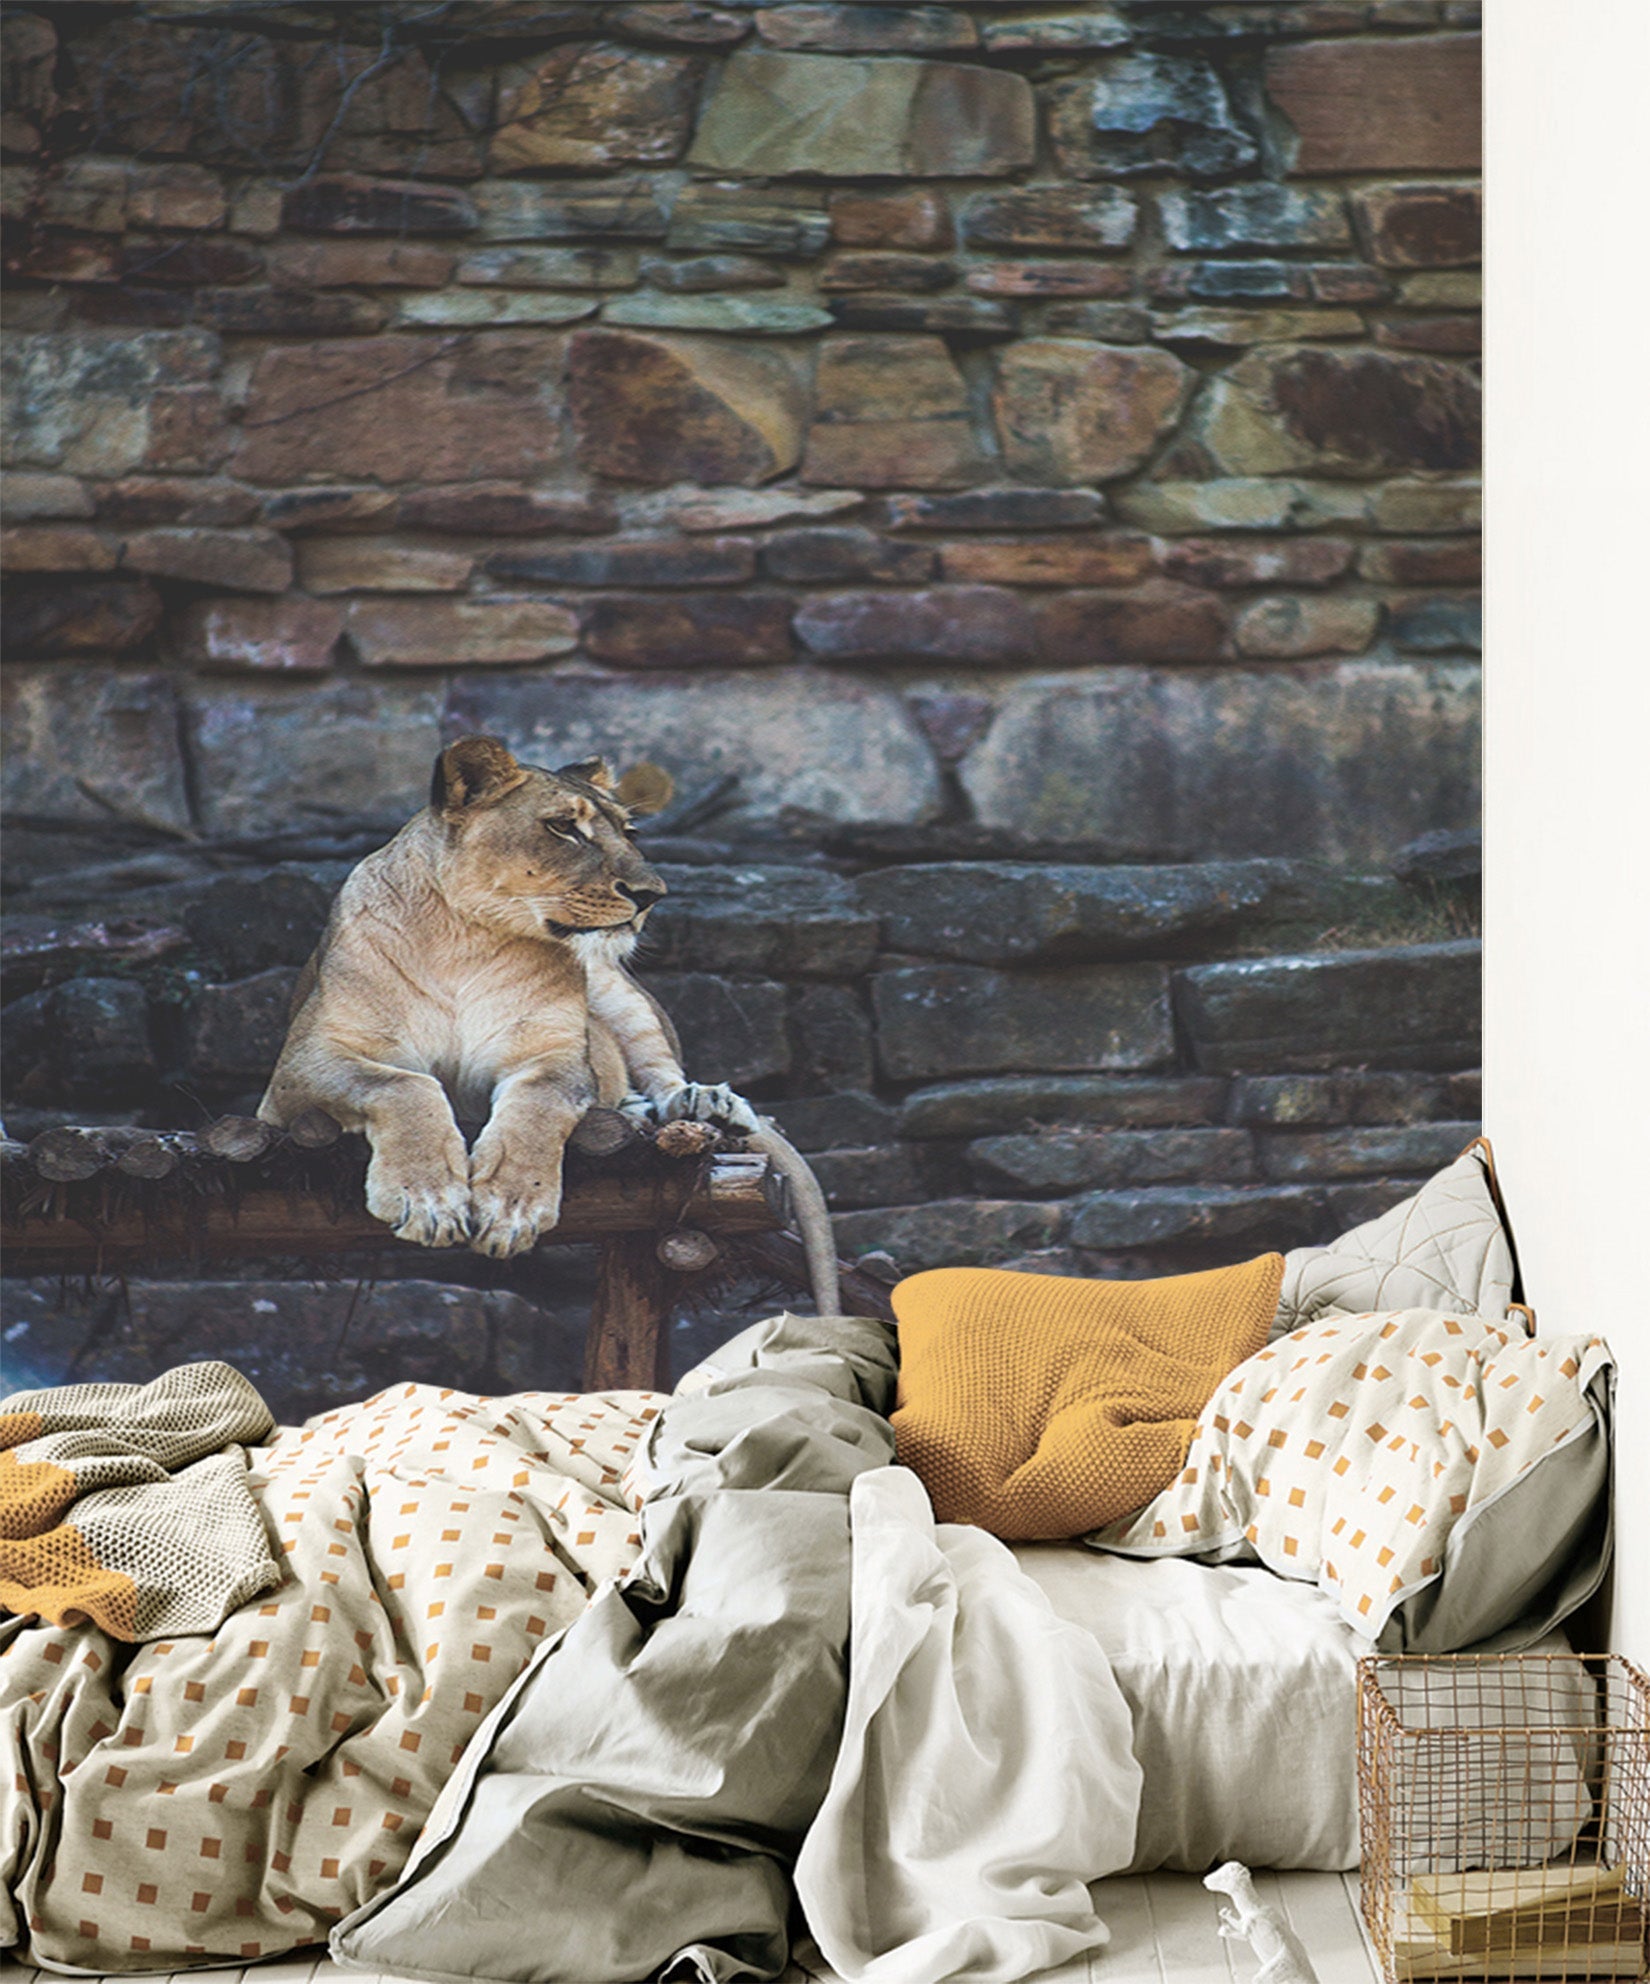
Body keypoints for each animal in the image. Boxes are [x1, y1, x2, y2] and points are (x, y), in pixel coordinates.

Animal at [258, 735, 840, 1313]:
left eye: (629, 832)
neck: (465, 940)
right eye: (563, 827)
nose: (652, 895)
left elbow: (538, 1108)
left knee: (664, 1073)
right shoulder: (300, 1067)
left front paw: (511, 1207)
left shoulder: (552, 1055)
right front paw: (426, 1198)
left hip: (615, 989)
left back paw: (706, 1104)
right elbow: (404, 1085)